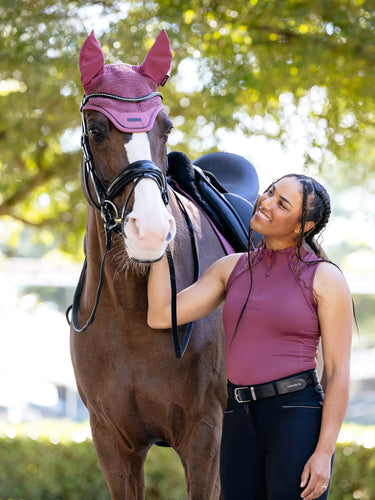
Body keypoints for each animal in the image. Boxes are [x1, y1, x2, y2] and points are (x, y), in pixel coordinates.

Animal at [70, 30, 231, 500]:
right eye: (96, 129)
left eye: (167, 127)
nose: (151, 230)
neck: (131, 312)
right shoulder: (112, 440)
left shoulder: (203, 433)